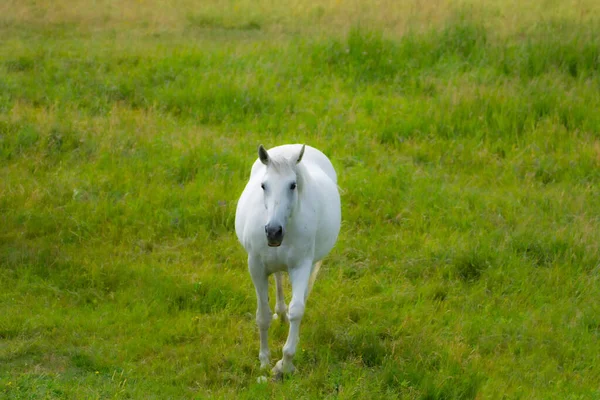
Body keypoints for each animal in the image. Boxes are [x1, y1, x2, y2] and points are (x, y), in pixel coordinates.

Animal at [236, 143, 342, 378]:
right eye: (263, 185)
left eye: (293, 185)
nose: (273, 232)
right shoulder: (256, 267)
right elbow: (262, 316)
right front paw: (264, 361)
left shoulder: (301, 266)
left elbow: (297, 310)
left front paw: (284, 364)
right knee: (277, 275)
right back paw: (280, 313)